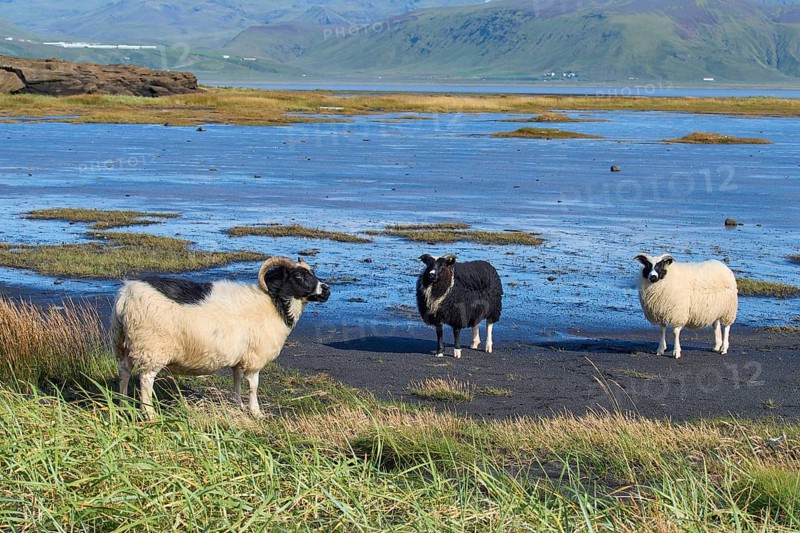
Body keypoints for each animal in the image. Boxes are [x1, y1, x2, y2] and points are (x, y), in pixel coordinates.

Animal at [112, 256, 330, 418]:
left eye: (312, 272)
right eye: (298, 276)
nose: (326, 290)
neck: (274, 303)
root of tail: (125, 296)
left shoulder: (241, 357)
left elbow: (237, 380)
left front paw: (238, 405)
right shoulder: (254, 358)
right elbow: (253, 385)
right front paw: (256, 412)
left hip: (124, 343)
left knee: (124, 372)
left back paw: (122, 404)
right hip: (152, 347)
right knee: (145, 380)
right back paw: (149, 414)